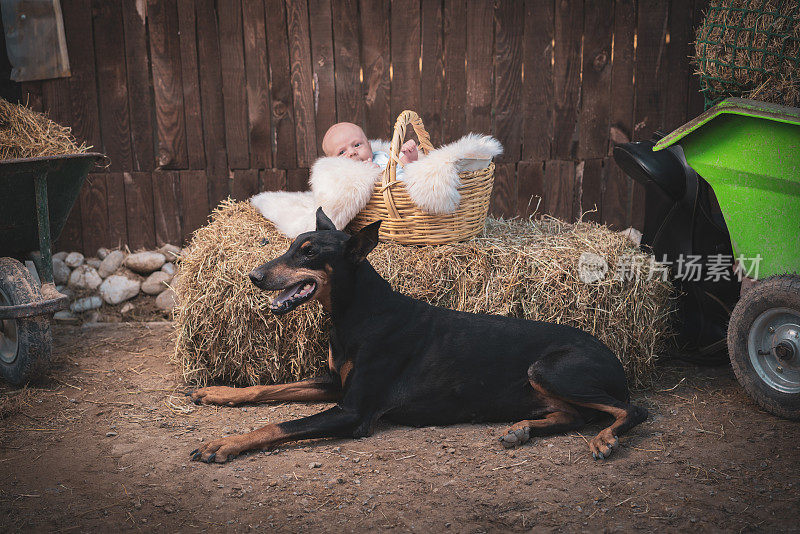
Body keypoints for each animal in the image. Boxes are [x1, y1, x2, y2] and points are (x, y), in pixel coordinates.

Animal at [189, 209, 648, 464]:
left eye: (310, 253)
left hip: (550, 368)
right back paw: (521, 430)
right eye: (291, 246)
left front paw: (223, 443)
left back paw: (605, 439)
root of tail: (615, 357)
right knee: (576, 415)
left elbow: (280, 424)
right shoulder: (334, 382)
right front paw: (217, 392)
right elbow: (270, 389)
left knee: (631, 409)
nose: (253, 276)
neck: (357, 314)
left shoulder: (353, 410)